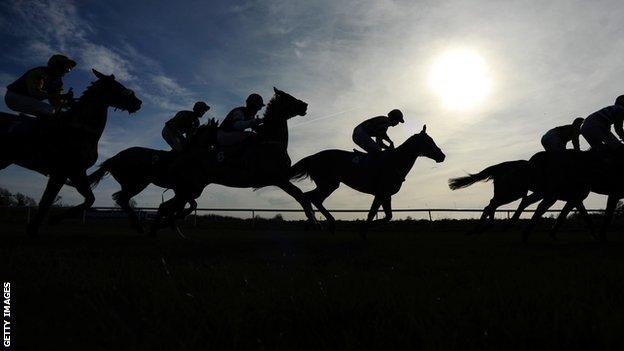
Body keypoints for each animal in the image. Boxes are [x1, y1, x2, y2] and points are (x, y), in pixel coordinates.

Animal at [0, 69, 141, 236]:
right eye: (119, 87)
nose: (138, 102)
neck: (80, 129)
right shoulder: (62, 172)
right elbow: (47, 202)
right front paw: (42, 224)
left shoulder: (76, 172)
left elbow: (88, 200)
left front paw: (51, 220)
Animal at [147, 88, 320, 236]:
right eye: (288, 98)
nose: (305, 105)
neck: (271, 141)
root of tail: (180, 156)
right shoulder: (279, 178)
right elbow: (301, 197)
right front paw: (315, 223)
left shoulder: (282, 177)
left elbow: (303, 196)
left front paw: (314, 221)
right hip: (190, 187)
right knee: (169, 207)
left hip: (191, 188)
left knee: (167, 207)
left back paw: (159, 230)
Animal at [290, 126, 446, 236]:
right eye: (429, 141)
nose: (442, 156)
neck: (395, 161)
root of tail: (312, 157)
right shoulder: (383, 193)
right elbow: (382, 215)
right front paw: (363, 228)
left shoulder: (382, 195)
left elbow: (378, 214)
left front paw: (364, 230)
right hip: (328, 184)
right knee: (310, 197)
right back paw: (324, 223)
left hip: (329, 185)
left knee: (311, 198)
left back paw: (317, 223)